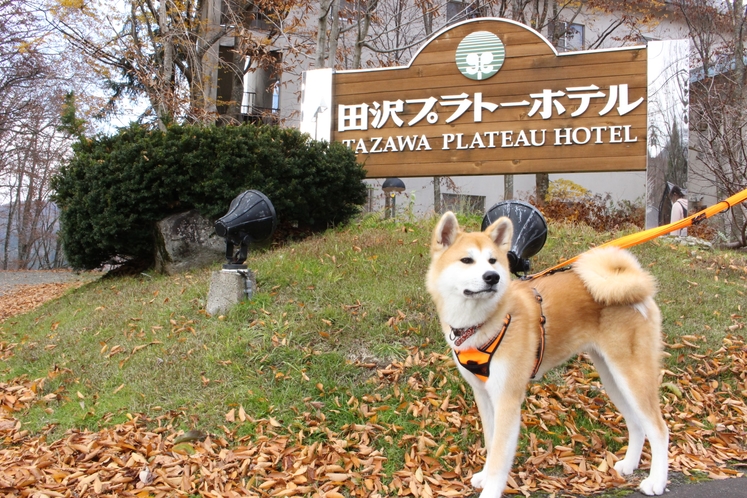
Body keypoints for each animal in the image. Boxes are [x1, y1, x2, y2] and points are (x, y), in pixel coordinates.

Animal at [426, 213, 672, 498]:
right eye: (467, 260)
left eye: (492, 261)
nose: (492, 277)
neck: (487, 321)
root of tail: (635, 285)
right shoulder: (484, 396)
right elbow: (491, 441)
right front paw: (485, 476)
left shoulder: (507, 399)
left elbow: (499, 456)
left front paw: (491, 487)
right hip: (613, 378)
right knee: (636, 424)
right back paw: (629, 464)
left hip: (633, 376)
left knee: (659, 430)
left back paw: (656, 481)